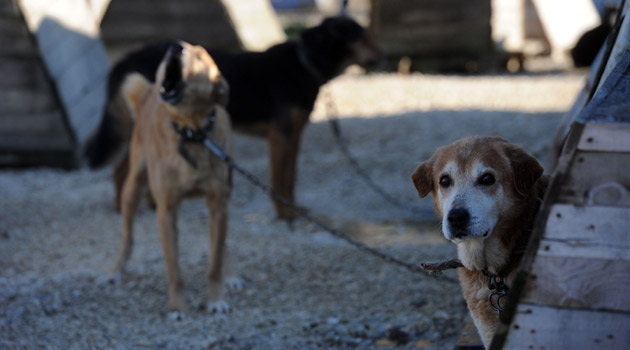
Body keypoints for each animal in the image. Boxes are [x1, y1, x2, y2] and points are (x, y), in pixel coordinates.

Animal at [86, 16, 382, 220]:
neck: (304, 63)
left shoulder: (294, 137)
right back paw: (123, 208)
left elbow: (291, 178)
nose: (384, 57)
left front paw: (293, 208)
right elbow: (280, 180)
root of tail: (125, 59)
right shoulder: (281, 138)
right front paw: (285, 215)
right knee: (120, 170)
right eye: (364, 37)